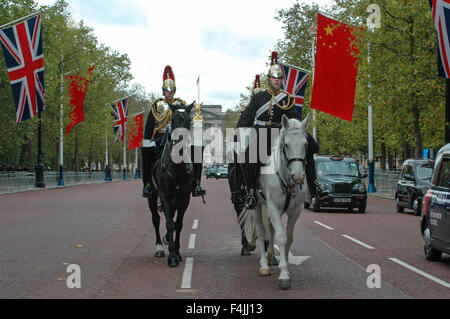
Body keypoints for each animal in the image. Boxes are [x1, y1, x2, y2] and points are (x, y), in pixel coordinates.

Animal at [148, 104, 195, 268]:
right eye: (173, 119)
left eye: (189, 120)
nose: (180, 143)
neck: (177, 167)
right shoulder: (165, 196)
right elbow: (169, 224)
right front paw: (172, 256)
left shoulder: (184, 199)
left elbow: (178, 224)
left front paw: (177, 252)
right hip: (152, 196)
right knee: (156, 219)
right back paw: (159, 248)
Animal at [253, 114, 310, 292]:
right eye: (286, 144)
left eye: (306, 144)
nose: (298, 176)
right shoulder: (273, 207)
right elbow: (281, 237)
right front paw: (284, 275)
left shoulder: (295, 211)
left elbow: (289, 237)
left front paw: (287, 270)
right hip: (257, 205)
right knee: (261, 231)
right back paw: (264, 265)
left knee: (270, 229)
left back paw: (271, 255)